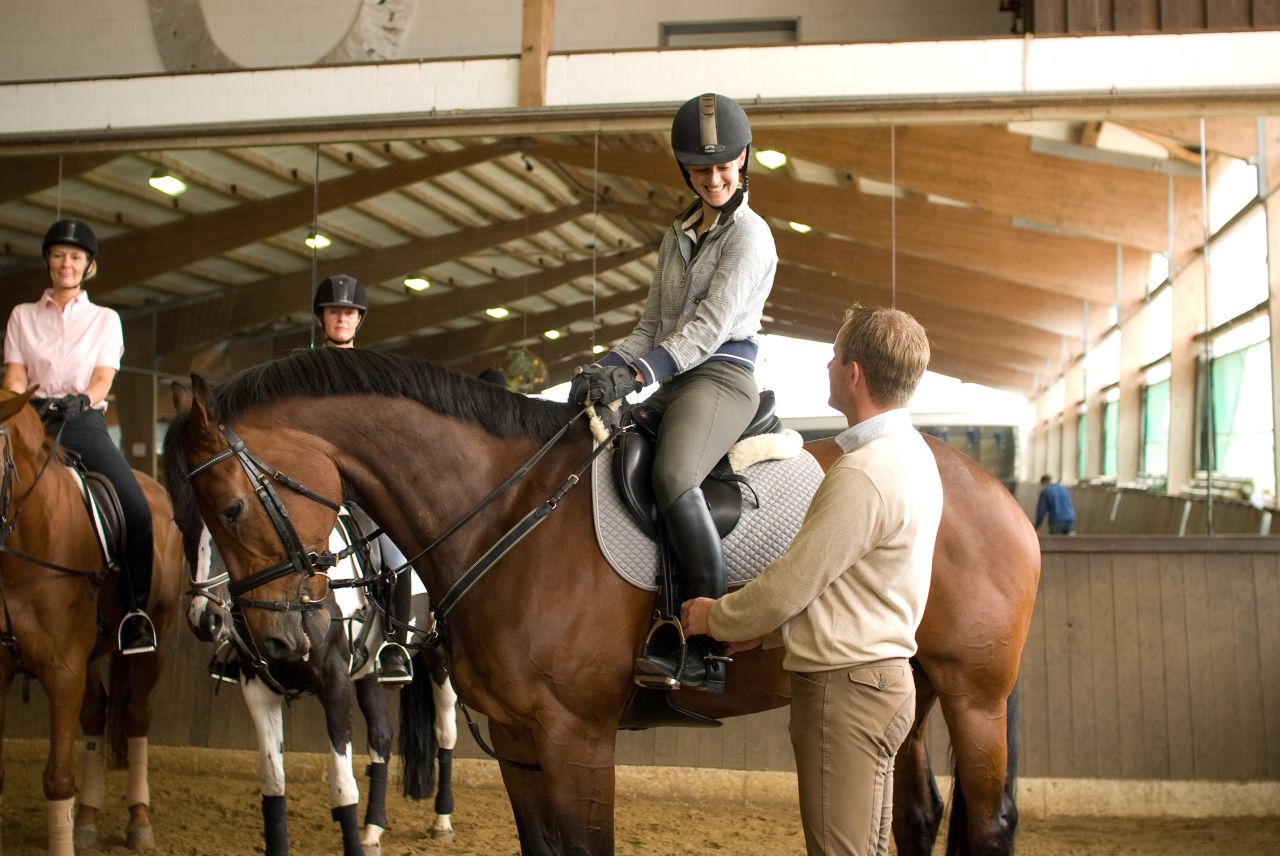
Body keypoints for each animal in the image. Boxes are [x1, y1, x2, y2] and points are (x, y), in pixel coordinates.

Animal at [0, 391, 184, 857]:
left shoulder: (63, 670)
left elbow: (56, 779)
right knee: (96, 714)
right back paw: (85, 818)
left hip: (153, 639)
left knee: (136, 717)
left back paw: (139, 821)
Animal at [161, 452, 460, 854]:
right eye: (184, 526)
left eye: (233, 524)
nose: (204, 619)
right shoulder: (258, 690)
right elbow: (273, 782)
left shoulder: (334, 684)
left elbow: (342, 786)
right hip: (369, 671)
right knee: (381, 736)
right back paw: (373, 828)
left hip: (439, 658)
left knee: (445, 731)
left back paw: (442, 820)